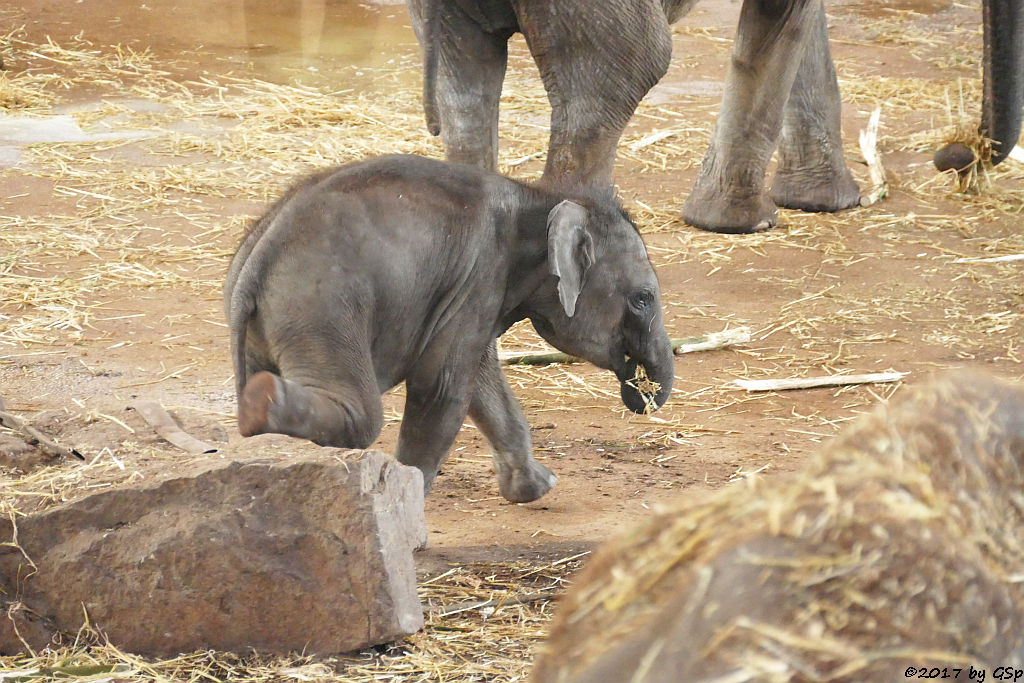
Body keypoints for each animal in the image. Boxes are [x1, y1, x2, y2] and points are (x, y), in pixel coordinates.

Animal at [224, 153, 671, 501]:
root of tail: (258, 256)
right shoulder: (479, 275)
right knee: (364, 414)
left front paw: (538, 488)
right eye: (642, 298)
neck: (539, 201)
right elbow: (443, 387)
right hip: (323, 309)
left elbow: (483, 383)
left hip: (277, 321)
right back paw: (262, 403)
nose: (642, 393)